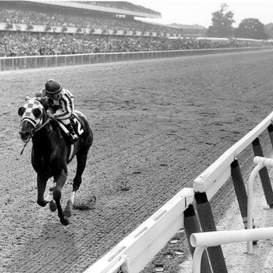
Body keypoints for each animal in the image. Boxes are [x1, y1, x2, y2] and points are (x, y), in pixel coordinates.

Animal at [18, 96, 93, 224]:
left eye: (37, 111)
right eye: (21, 111)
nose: (24, 132)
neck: (46, 146)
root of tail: (81, 115)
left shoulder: (62, 171)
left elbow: (57, 194)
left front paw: (63, 218)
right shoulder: (41, 173)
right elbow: (40, 200)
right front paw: (49, 201)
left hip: (83, 153)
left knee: (77, 181)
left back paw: (68, 208)